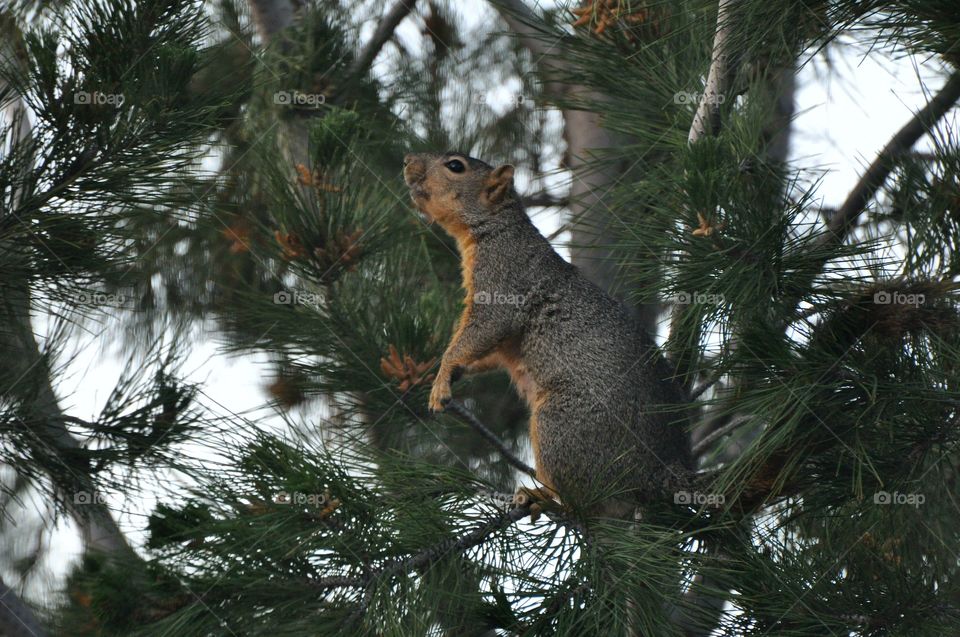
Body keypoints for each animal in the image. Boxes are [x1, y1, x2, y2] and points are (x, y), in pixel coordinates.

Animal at [402, 153, 692, 516]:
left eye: (455, 166)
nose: (407, 161)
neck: (495, 227)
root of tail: (662, 469)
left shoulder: (503, 280)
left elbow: (486, 328)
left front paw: (442, 377)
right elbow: (490, 351)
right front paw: (449, 371)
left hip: (561, 425)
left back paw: (540, 495)